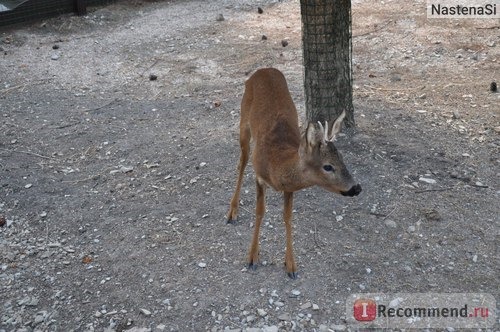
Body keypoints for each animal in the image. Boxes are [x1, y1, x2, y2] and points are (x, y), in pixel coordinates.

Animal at [229, 68, 362, 278]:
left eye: (342, 158)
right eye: (328, 166)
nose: (356, 188)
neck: (276, 166)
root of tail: (263, 69)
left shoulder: (289, 188)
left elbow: (287, 217)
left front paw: (291, 264)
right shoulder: (259, 175)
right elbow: (260, 212)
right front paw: (252, 257)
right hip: (244, 121)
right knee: (242, 163)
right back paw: (232, 211)